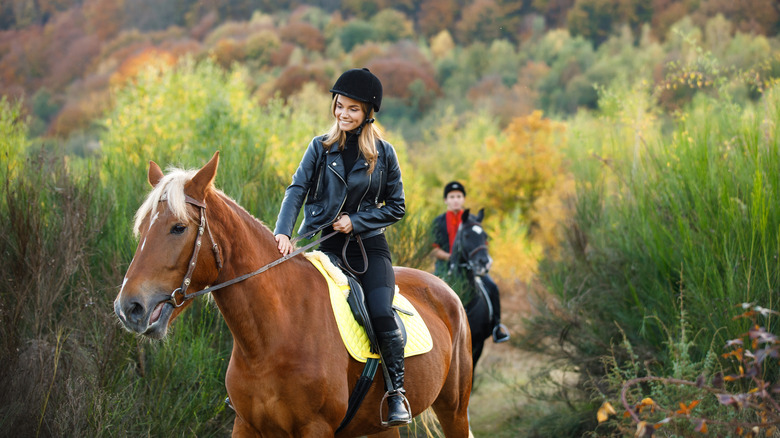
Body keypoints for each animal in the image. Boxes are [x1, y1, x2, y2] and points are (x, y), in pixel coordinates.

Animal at [112, 152, 472, 436]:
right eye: (141, 228)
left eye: (178, 228)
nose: (130, 307)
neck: (271, 338)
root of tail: (446, 291)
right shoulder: (246, 425)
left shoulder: (315, 428)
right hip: (379, 428)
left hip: (454, 410)